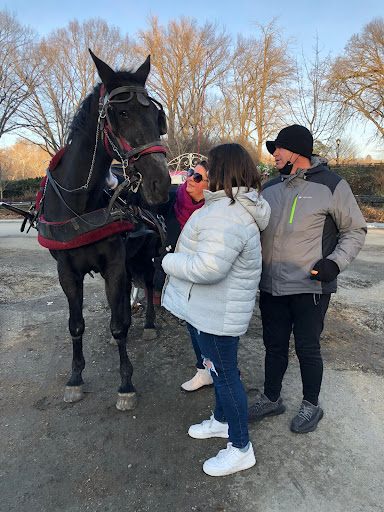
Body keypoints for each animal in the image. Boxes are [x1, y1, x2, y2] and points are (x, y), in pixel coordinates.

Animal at [40, 52, 170, 410]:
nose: (161, 183)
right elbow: (76, 325)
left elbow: (118, 326)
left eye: (156, 116)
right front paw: (75, 378)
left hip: (145, 255)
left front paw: (125, 383)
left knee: (148, 282)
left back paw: (149, 323)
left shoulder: (113, 264)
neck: (79, 206)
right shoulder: (67, 271)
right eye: (121, 112)